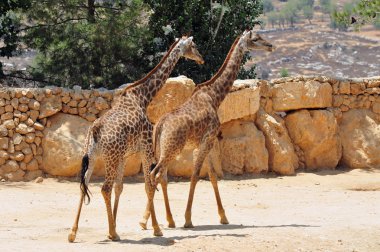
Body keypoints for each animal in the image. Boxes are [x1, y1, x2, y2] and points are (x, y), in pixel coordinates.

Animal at [68, 36, 205, 242]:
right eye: (193, 46)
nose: (201, 59)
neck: (143, 97)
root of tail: (95, 130)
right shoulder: (146, 148)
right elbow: (149, 185)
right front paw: (155, 228)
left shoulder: (124, 156)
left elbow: (120, 187)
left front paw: (115, 224)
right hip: (110, 157)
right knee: (104, 188)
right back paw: (113, 233)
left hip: (92, 157)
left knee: (83, 186)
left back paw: (73, 232)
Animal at [145, 29, 274, 228]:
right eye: (255, 39)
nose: (270, 46)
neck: (215, 96)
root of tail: (159, 126)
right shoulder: (209, 138)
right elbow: (196, 175)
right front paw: (188, 219)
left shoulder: (204, 142)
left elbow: (212, 175)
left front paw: (223, 217)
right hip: (171, 149)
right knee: (155, 175)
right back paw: (153, 225)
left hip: (161, 150)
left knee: (159, 177)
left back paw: (163, 221)